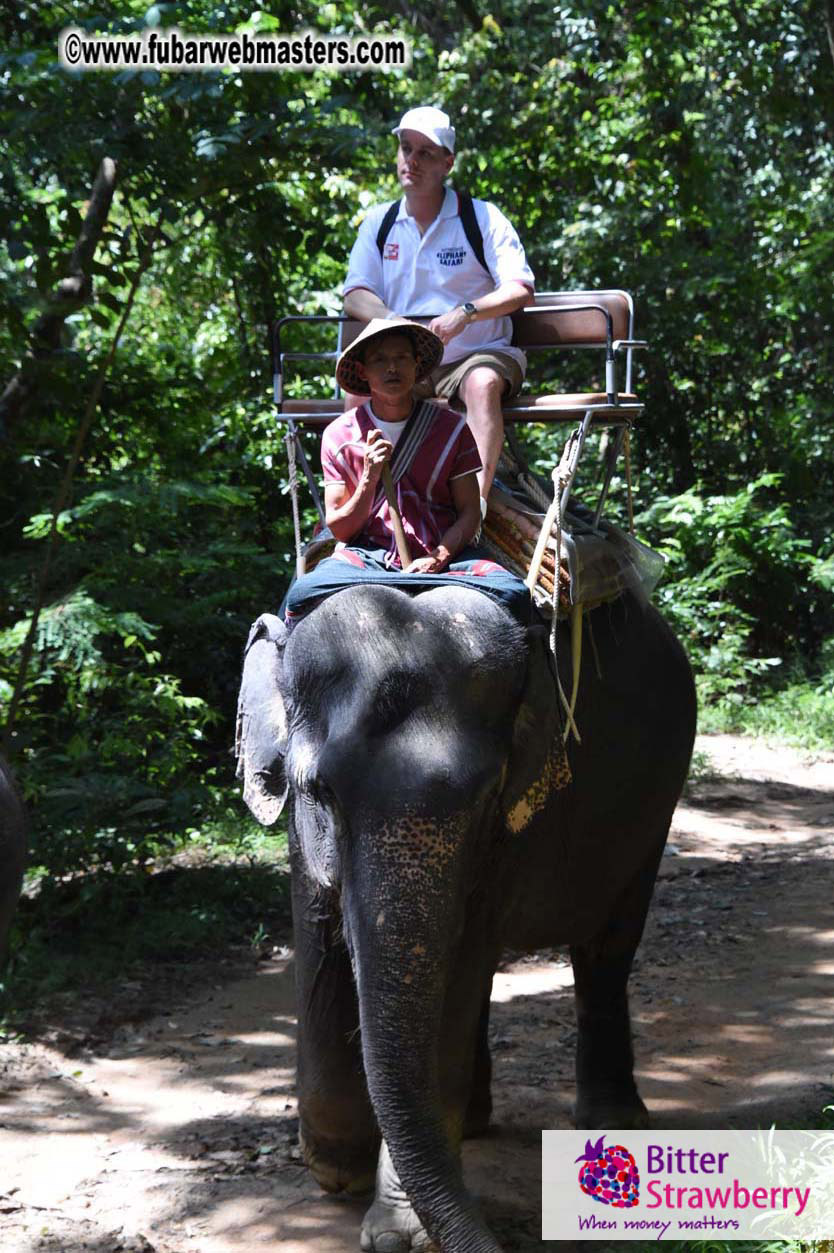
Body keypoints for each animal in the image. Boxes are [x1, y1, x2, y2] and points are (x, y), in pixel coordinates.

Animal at [236, 580, 696, 1253]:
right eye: (320, 792)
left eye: (485, 798)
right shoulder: (301, 837)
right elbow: (320, 949)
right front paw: (337, 1167)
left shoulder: (509, 830)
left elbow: (454, 986)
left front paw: (399, 1235)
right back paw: (476, 1127)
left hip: (655, 808)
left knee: (606, 948)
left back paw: (616, 1122)